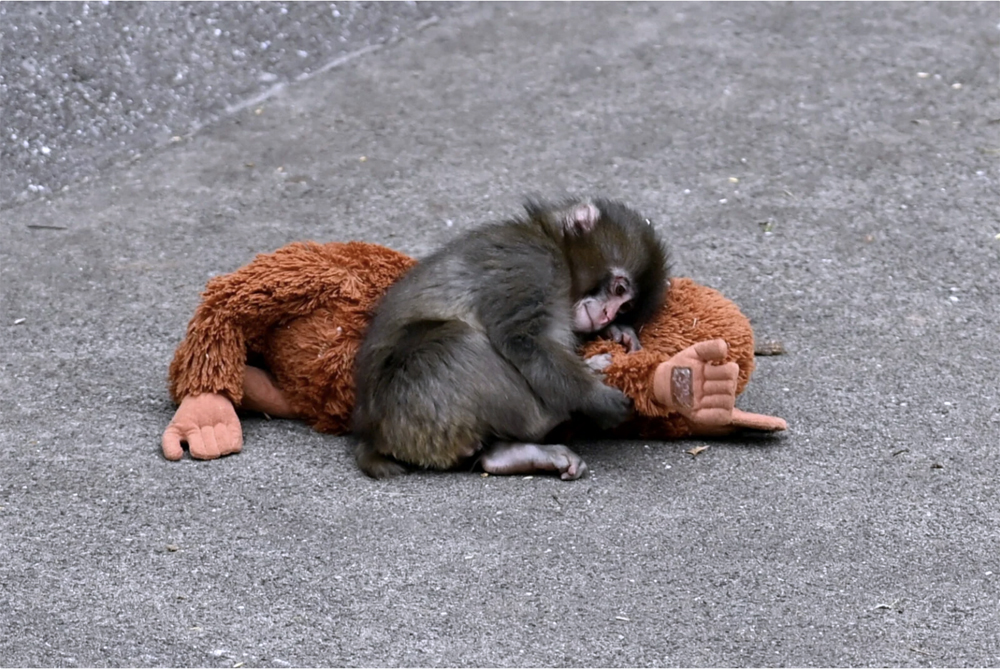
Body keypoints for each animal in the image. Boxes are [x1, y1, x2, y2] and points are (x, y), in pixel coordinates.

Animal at [351, 198, 669, 480]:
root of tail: (372, 436)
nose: (606, 315)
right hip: (411, 404)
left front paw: (618, 332)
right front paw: (595, 397)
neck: (552, 244)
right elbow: (522, 339)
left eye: (625, 307)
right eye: (618, 289)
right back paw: (552, 414)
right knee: (457, 341)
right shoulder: (532, 263)